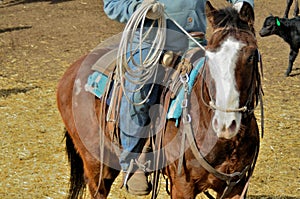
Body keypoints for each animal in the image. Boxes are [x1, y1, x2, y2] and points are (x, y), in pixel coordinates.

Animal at [56, 1, 262, 199]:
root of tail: (72, 71)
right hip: (96, 164)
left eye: (251, 55)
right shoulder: (182, 186)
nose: (226, 124)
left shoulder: (236, 188)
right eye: (209, 56)